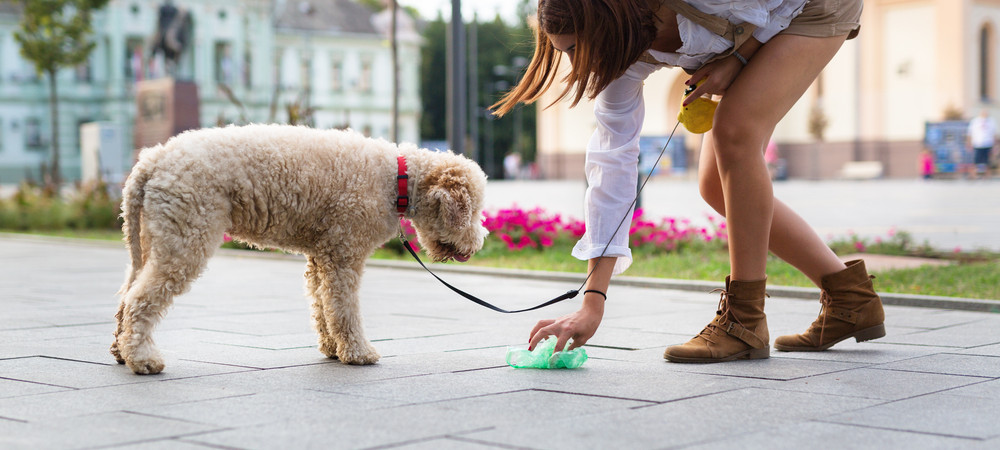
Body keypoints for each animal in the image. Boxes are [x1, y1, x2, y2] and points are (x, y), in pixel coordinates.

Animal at [111, 125, 490, 374]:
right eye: (472, 210)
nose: (478, 244)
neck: (397, 179)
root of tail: (152, 160)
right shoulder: (344, 254)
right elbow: (344, 309)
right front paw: (358, 352)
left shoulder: (321, 256)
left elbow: (323, 306)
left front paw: (332, 349)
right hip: (186, 237)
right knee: (141, 299)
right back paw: (143, 359)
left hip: (152, 238)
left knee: (126, 295)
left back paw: (121, 350)